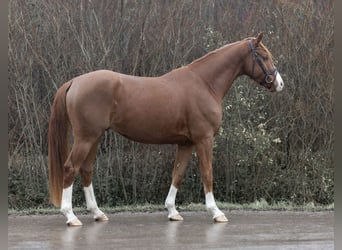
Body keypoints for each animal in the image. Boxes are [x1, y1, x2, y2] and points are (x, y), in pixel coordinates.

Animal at [47, 32, 284, 226]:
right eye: (263, 56)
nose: (279, 83)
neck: (204, 83)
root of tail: (75, 82)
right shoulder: (204, 139)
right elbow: (207, 173)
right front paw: (216, 212)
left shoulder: (186, 143)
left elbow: (177, 174)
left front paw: (172, 211)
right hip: (85, 138)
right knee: (70, 168)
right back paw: (70, 216)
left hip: (94, 137)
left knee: (86, 170)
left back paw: (97, 213)